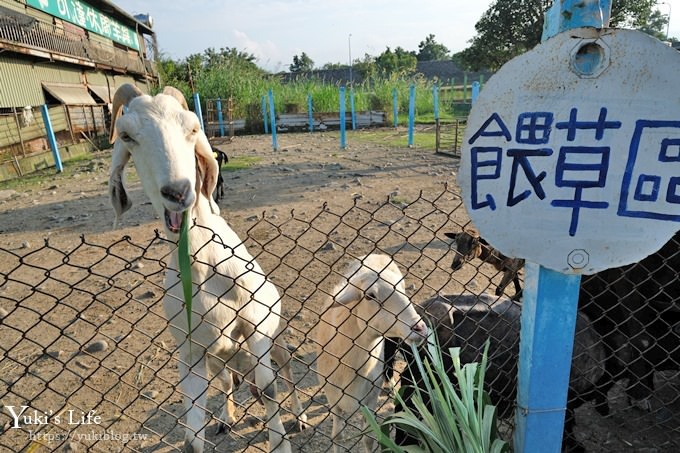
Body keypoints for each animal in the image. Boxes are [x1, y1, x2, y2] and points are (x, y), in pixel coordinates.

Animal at [109, 84, 306, 452]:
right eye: (127, 135)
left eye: (192, 128)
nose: (177, 191)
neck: (201, 268)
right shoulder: (190, 353)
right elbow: (192, 429)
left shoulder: (256, 325)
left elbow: (270, 386)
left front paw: (281, 442)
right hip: (219, 360)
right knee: (229, 382)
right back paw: (227, 420)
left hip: (276, 337)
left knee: (283, 371)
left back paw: (299, 416)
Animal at [312, 252, 424, 450]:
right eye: (370, 296)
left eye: (403, 289)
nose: (420, 328)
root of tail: (378, 254)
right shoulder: (333, 399)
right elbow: (337, 436)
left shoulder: (370, 399)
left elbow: (369, 438)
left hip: (391, 339)